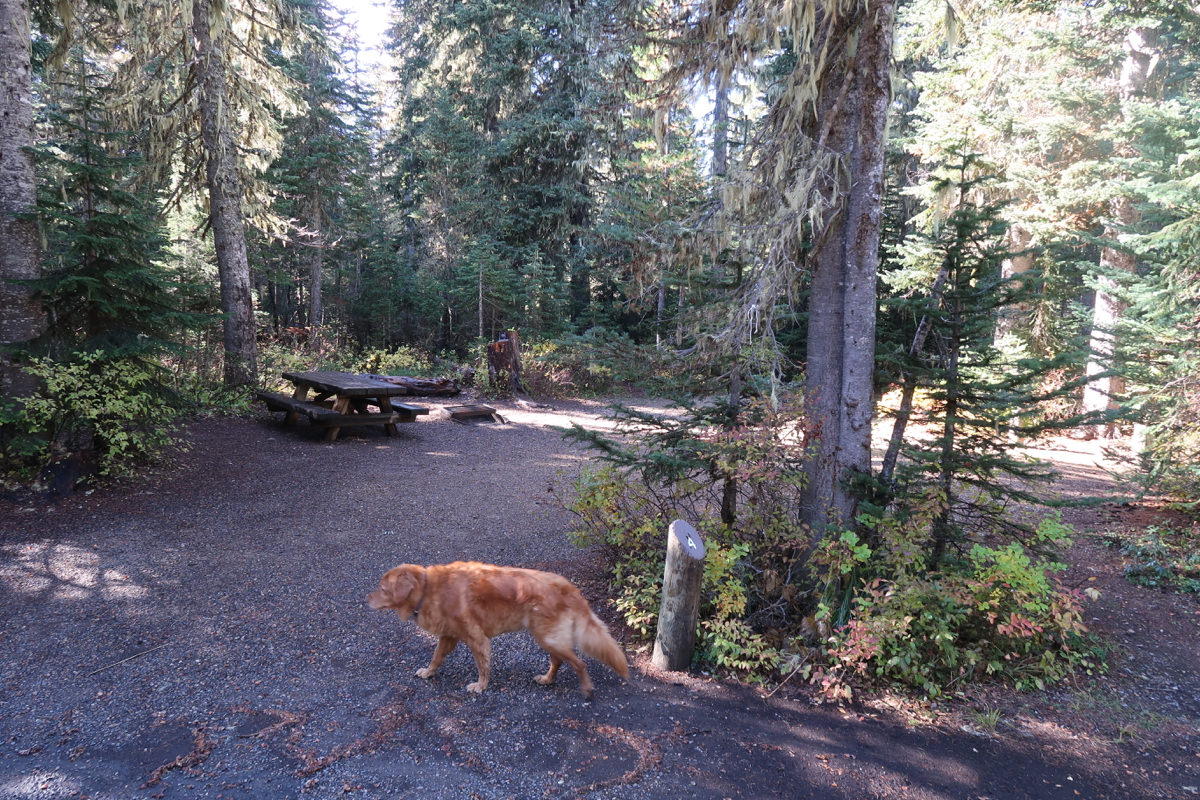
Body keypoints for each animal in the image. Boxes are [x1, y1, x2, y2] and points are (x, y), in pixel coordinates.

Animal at [362, 561, 628, 695]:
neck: (428, 588)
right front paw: (428, 672)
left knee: (579, 663)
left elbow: (483, 666)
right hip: (547, 637)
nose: (366, 598)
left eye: (382, 588)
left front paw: (480, 686)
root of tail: (568, 587)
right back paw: (547, 679)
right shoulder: (448, 636)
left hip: (547, 637)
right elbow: (436, 657)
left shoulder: (477, 639)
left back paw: (586, 688)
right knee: (559, 661)